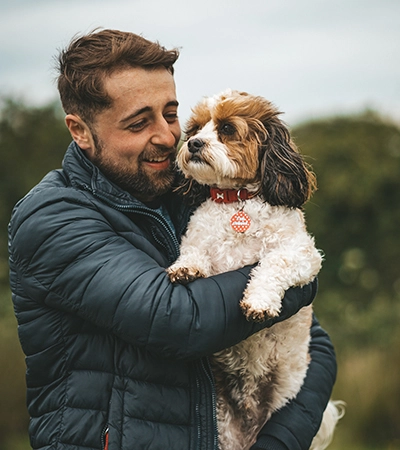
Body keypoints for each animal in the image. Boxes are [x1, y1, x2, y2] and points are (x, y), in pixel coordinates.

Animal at [167, 89, 342, 448]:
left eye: (227, 129)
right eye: (195, 128)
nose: (193, 144)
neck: (236, 201)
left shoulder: (303, 254)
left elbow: (273, 263)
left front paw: (259, 301)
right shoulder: (200, 240)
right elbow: (194, 252)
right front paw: (185, 267)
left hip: (284, 397)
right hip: (224, 427)